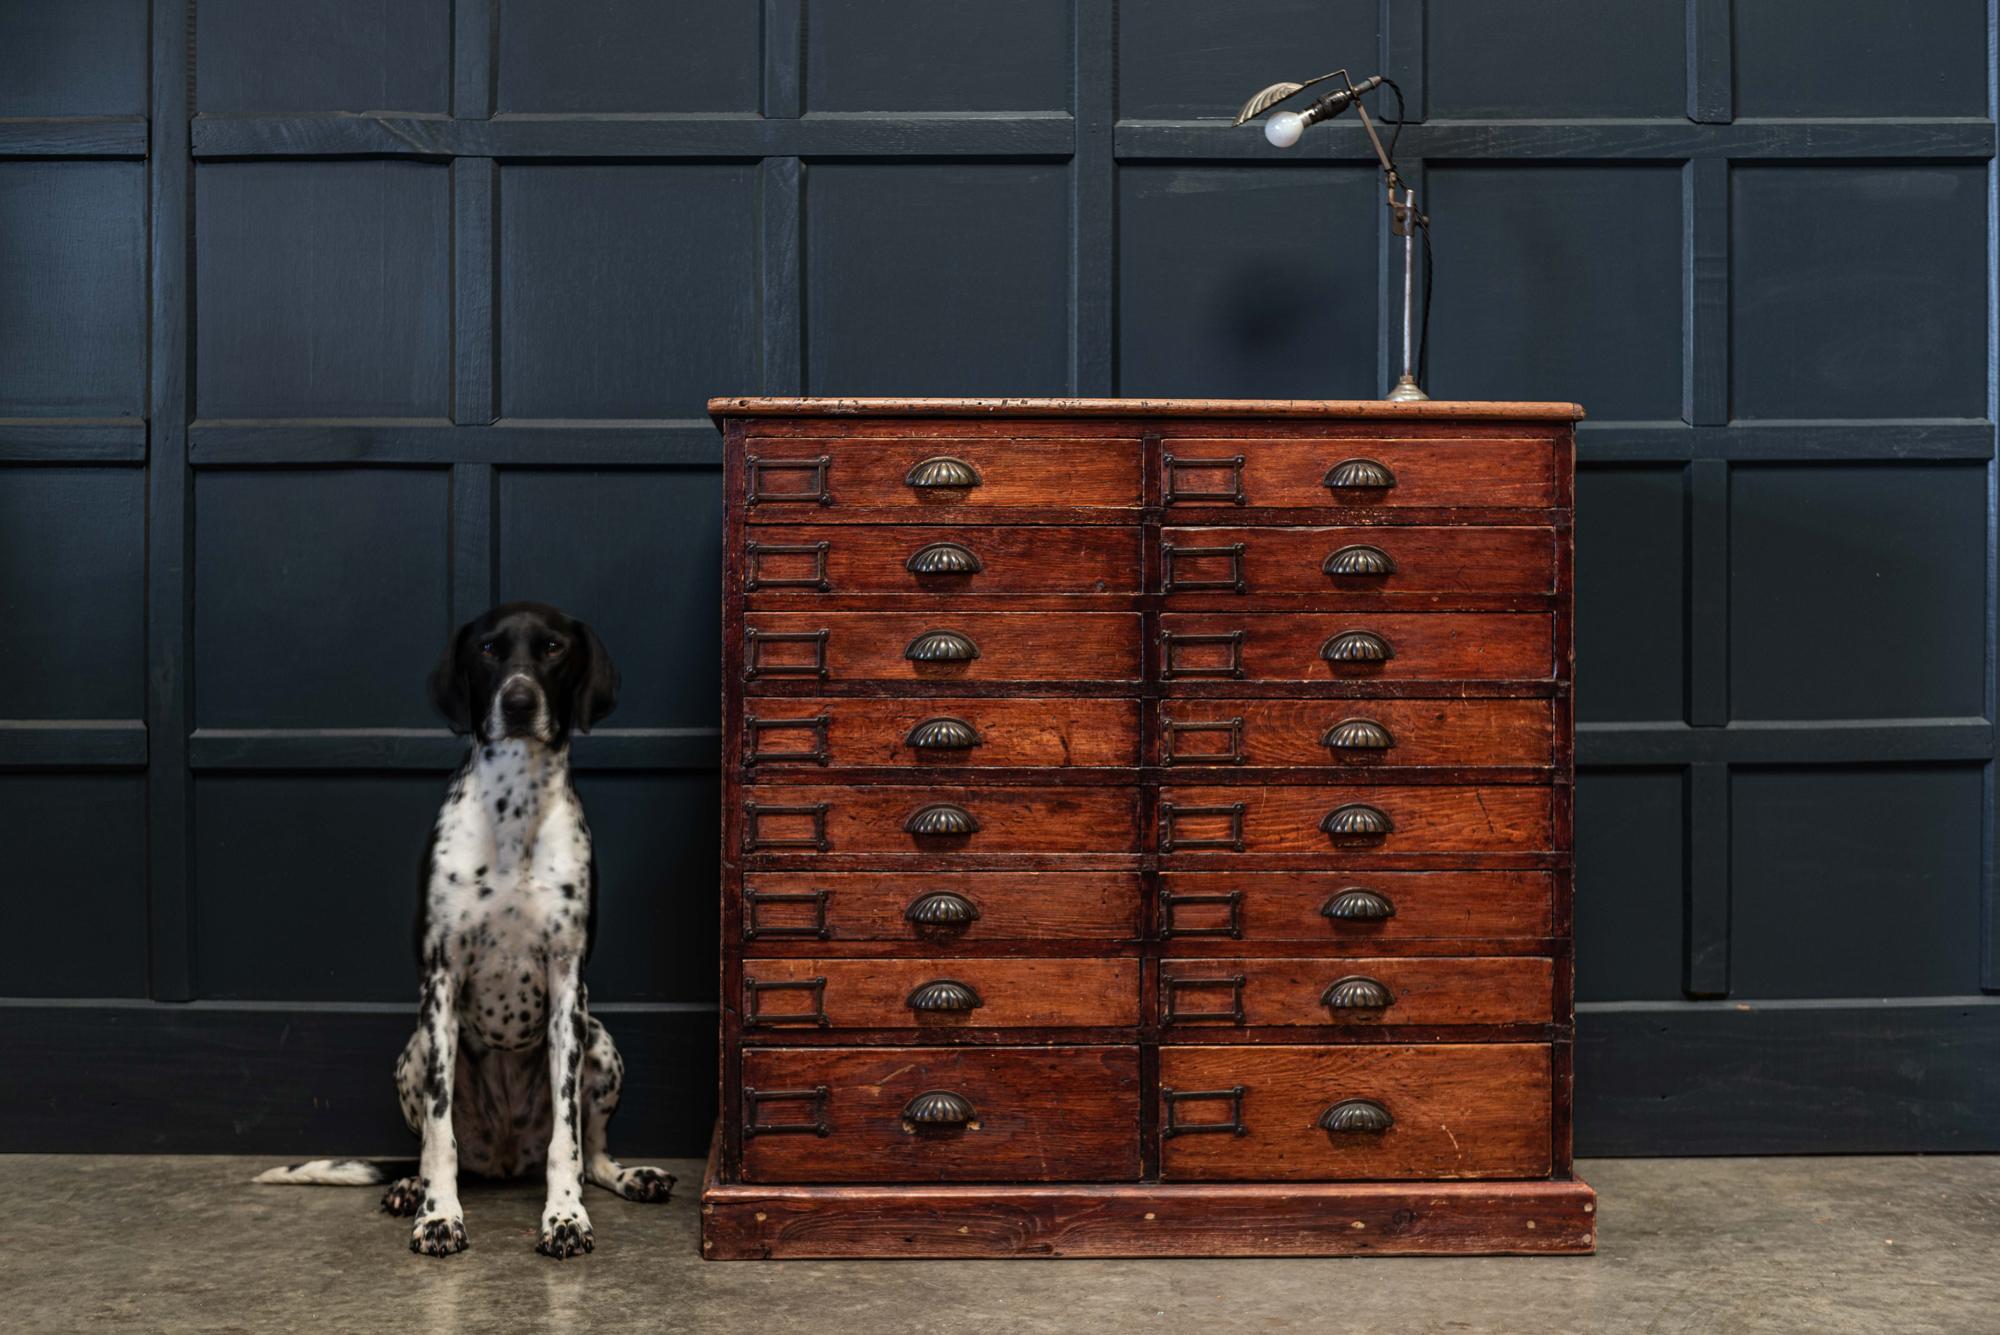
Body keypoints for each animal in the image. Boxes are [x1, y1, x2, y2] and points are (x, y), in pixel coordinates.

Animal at [258, 599, 672, 1255]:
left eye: (553, 648)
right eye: (488, 650)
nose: (520, 700)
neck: (515, 806)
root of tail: (502, 1159)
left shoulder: (567, 987)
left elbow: (567, 1137)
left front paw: (565, 1216)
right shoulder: (441, 980)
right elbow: (439, 1131)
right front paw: (438, 1215)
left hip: (602, 1044)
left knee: (594, 1153)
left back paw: (631, 1177)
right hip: (414, 1052)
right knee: (434, 1144)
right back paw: (410, 1187)